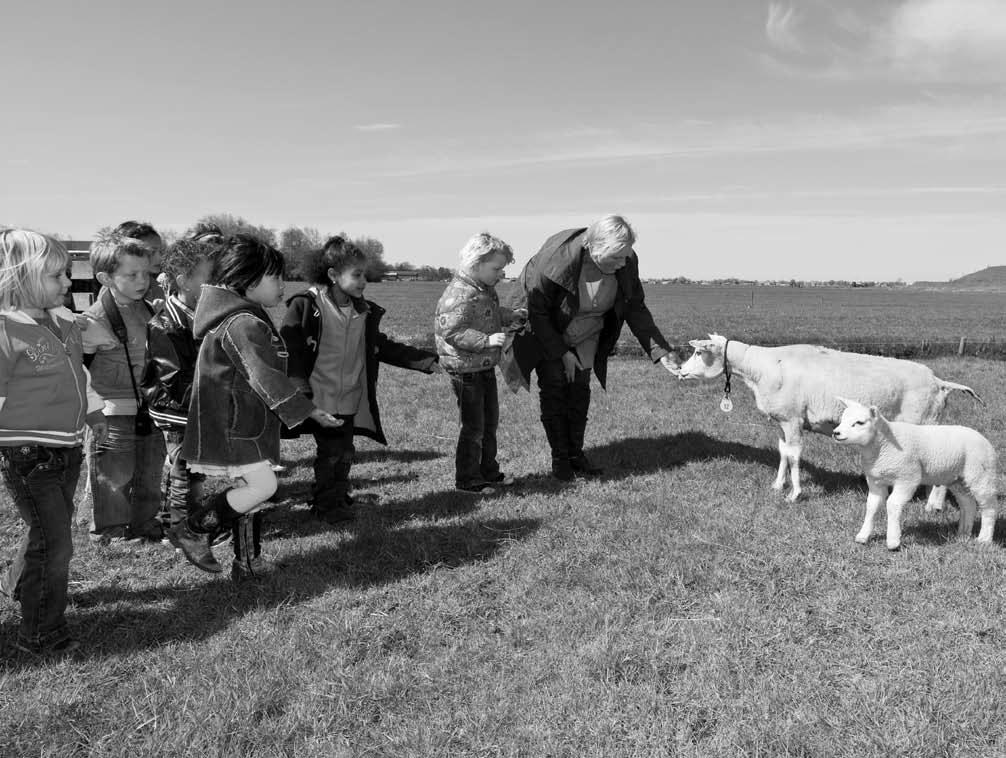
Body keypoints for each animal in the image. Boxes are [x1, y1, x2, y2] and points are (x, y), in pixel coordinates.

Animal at [680, 332, 977, 503]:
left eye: (698, 352)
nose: (680, 372)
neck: (761, 368)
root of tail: (939, 382)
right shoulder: (781, 421)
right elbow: (782, 452)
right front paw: (777, 485)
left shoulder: (793, 420)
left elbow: (795, 456)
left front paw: (795, 494)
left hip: (925, 422)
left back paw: (932, 506)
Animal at [828, 396, 993, 551]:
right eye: (842, 420)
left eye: (859, 423)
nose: (836, 433)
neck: (882, 446)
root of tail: (984, 440)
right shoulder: (875, 481)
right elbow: (872, 506)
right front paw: (863, 536)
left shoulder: (907, 478)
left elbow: (892, 504)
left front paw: (893, 541)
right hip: (957, 479)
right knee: (968, 504)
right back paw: (963, 534)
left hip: (981, 474)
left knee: (989, 507)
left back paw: (984, 539)